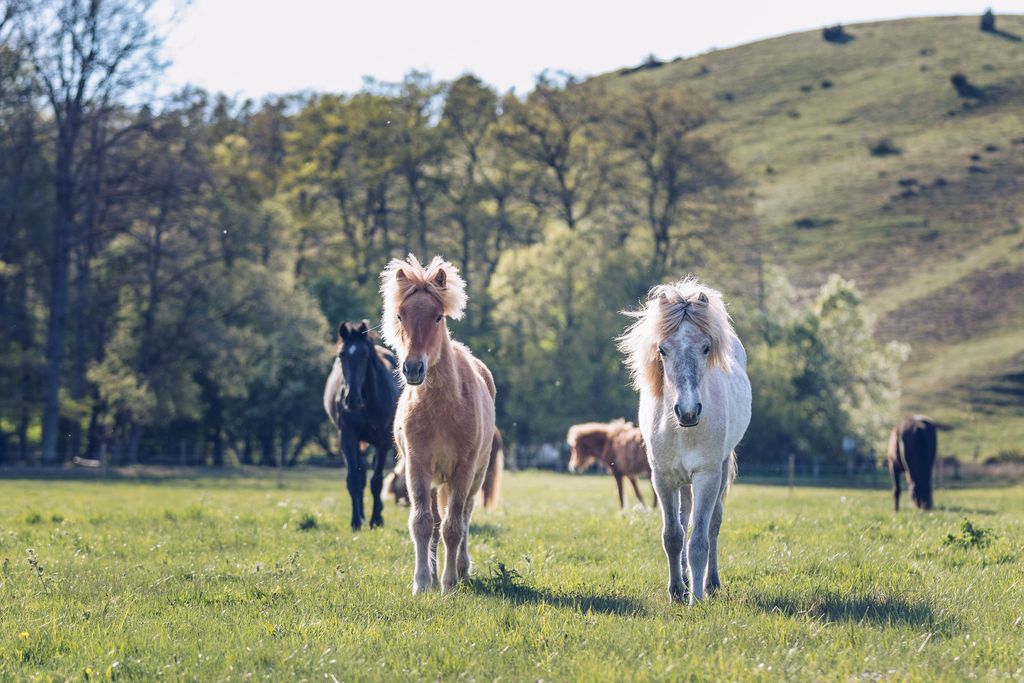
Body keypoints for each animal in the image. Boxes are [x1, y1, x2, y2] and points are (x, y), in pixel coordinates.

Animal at [323, 319, 400, 531]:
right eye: (341, 355)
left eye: (365, 356)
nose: (352, 399)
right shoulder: (348, 438)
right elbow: (354, 479)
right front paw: (356, 521)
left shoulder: (383, 442)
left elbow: (377, 481)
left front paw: (376, 520)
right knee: (361, 476)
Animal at [380, 255, 497, 594]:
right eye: (400, 314)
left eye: (437, 317)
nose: (413, 368)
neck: (442, 410)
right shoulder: (417, 467)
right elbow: (422, 524)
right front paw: (422, 583)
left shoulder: (463, 470)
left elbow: (454, 526)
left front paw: (449, 584)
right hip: (434, 481)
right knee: (433, 522)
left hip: (475, 476)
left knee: (465, 516)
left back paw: (461, 567)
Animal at [619, 276, 751, 604]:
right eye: (662, 350)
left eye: (706, 348)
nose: (688, 411)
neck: (682, 431)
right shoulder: (663, 478)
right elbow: (673, 535)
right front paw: (677, 590)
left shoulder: (706, 476)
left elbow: (699, 539)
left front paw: (697, 598)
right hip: (683, 482)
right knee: (684, 519)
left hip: (718, 471)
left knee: (713, 525)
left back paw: (711, 582)